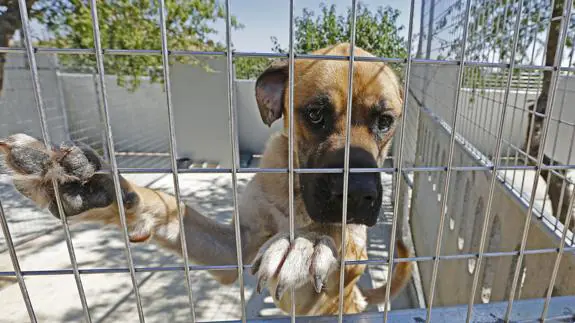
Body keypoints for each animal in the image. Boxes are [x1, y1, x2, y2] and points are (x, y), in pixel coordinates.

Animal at [1, 42, 414, 316]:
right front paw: (95, 187)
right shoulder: (233, 250)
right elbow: (171, 208)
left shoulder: (324, 290)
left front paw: (310, 242)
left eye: (385, 122)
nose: (358, 194)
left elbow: (338, 246)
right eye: (315, 114)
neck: (295, 196)